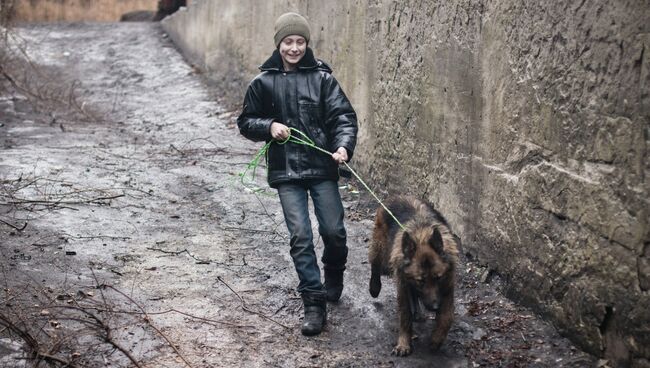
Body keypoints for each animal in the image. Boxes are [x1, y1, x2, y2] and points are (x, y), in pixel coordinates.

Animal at [368, 197, 458, 356]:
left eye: (438, 278)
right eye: (420, 281)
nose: (435, 307)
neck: (421, 236)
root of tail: (398, 196)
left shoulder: (447, 287)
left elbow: (447, 317)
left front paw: (437, 338)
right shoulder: (403, 286)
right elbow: (405, 315)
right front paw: (404, 344)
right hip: (382, 249)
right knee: (375, 263)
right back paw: (374, 287)